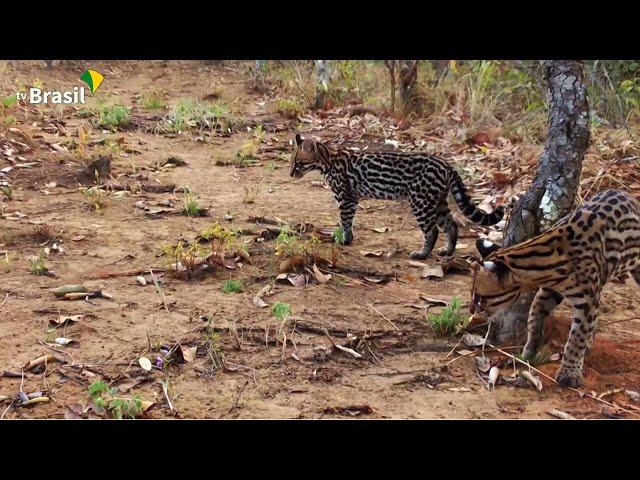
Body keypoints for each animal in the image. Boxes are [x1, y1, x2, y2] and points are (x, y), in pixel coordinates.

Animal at [290, 133, 504, 260]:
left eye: (298, 163)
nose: (290, 174)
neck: (328, 159)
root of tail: (447, 164)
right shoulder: (350, 199)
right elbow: (346, 221)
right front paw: (345, 238)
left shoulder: (347, 198)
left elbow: (345, 221)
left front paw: (344, 239)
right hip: (438, 201)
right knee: (451, 225)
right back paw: (448, 250)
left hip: (420, 201)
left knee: (432, 231)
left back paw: (422, 254)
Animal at [470, 189, 640, 388]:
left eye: (479, 296)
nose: (471, 310)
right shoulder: (548, 291)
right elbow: (534, 321)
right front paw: (527, 354)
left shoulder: (588, 300)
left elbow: (576, 338)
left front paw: (570, 371)